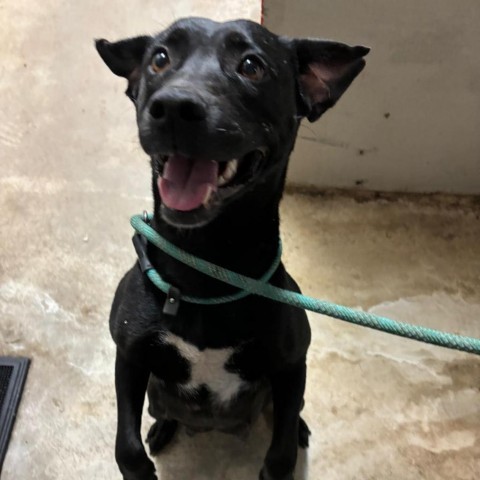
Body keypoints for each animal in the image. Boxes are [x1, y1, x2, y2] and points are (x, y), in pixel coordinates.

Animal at [96, 16, 368, 478]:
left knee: (289, 413)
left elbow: (280, 456)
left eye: (252, 66)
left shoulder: (291, 366)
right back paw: (164, 429)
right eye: (159, 58)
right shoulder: (130, 358)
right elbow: (126, 449)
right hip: (155, 394)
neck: (207, 266)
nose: (174, 108)